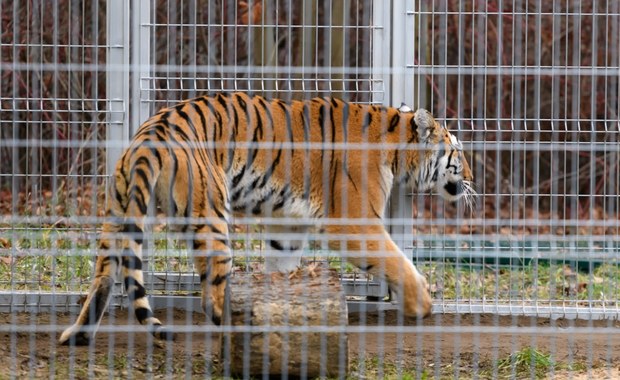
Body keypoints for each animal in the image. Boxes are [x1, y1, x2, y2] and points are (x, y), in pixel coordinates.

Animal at [59, 91, 474, 344]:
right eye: (457, 152)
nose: (472, 178)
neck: (394, 143)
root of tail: (150, 135)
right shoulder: (354, 222)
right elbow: (396, 261)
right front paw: (422, 304)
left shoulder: (286, 226)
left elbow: (282, 268)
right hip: (213, 216)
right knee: (211, 295)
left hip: (120, 214)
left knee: (103, 278)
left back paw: (77, 335)